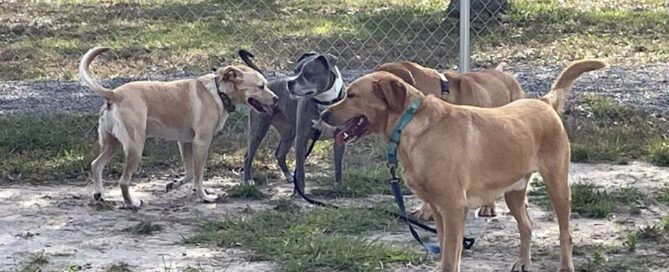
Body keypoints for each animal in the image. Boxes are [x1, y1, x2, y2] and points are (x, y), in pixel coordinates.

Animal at [79, 46, 278, 208]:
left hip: (111, 143)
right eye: (261, 86)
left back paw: (99, 194)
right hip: (135, 147)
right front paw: (204, 197)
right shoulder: (201, 143)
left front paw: (174, 184)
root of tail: (113, 94)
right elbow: (198, 176)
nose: (276, 98)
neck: (219, 93)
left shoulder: (185, 143)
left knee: (96, 165)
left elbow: (189, 173)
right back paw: (132, 203)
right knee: (123, 181)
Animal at [239, 50, 344, 191]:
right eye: (295, 71)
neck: (324, 102)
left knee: (279, 154)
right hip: (258, 130)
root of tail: (267, 82)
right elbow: (301, 170)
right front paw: (299, 191)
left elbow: (338, 166)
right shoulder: (301, 139)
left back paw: (288, 176)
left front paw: (339, 186)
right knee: (248, 156)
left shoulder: (340, 138)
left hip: (288, 133)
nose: (290, 83)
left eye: (308, 74)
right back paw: (248, 180)